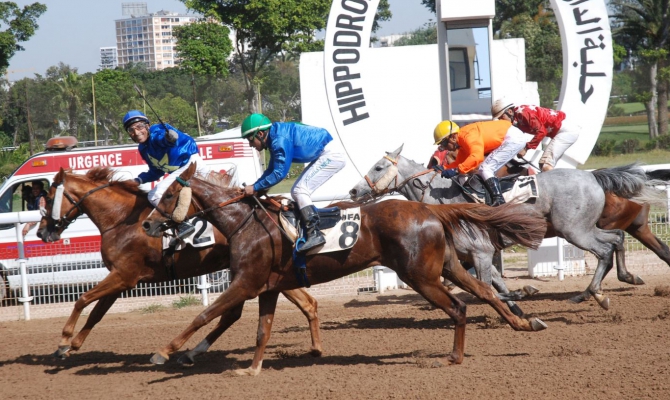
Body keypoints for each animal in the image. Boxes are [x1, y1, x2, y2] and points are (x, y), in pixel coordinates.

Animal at [36, 166, 326, 362]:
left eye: (48, 199)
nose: (41, 232)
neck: (120, 220)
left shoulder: (123, 275)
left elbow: (82, 299)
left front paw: (64, 340)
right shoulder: (121, 279)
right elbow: (96, 313)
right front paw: (73, 345)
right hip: (271, 274)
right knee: (307, 303)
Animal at [142, 162, 552, 376]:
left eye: (168, 194)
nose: (147, 224)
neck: (244, 224)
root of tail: (430, 209)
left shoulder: (246, 283)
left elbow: (205, 314)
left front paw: (164, 351)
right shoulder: (267, 287)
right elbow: (262, 330)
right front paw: (252, 369)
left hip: (420, 275)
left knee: (459, 307)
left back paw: (455, 356)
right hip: (448, 266)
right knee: (483, 291)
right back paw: (524, 323)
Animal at [350, 145, 664, 310]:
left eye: (378, 167)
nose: (353, 191)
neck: (442, 197)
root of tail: (593, 178)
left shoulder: (481, 251)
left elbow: (488, 286)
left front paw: (518, 295)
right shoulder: (477, 254)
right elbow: (497, 284)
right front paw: (519, 297)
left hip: (574, 230)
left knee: (605, 249)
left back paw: (594, 292)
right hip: (582, 228)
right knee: (617, 238)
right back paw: (622, 278)